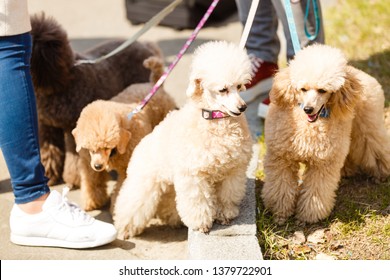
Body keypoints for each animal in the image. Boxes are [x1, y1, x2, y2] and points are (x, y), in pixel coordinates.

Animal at [29, 12, 162, 185]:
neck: (62, 80)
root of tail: (146, 46)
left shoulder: (73, 126)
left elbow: (75, 157)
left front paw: (75, 178)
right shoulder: (48, 126)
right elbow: (49, 151)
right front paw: (49, 175)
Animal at [71, 56, 177, 210]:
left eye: (107, 147)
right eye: (91, 148)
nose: (98, 166)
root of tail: (154, 83)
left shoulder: (127, 167)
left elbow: (122, 187)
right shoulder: (88, 164)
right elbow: (92, 181)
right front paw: (92, 201)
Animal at [262, 44, 390, 224]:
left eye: (322, 90)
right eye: (303, 89)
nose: (308, 109)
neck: (308, 125)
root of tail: (359, 73)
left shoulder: (322, 163)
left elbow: (316, 191)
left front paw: (308, 216)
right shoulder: (281, 159)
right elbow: (280, 187)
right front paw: (280, 212)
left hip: (367, 126)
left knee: (376, 147)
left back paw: (381, 173)